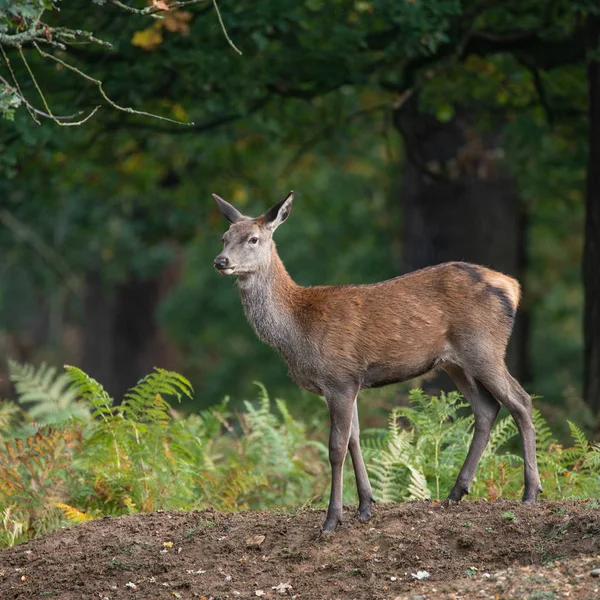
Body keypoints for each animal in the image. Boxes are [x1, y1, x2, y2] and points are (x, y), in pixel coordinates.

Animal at [212, 191, 544, 528]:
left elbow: (336, 448)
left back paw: (530, 491)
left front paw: (332, 519)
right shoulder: (350, 382)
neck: (296, 328)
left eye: (253, 239)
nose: (220, 261)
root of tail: (513, 287)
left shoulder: (339, 378)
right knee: (487, 408)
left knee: (521, 401)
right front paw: (366, 505)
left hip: (484, 347)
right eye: (224, 237)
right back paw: (456, 492)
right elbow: (355, 439)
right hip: (455, 362)